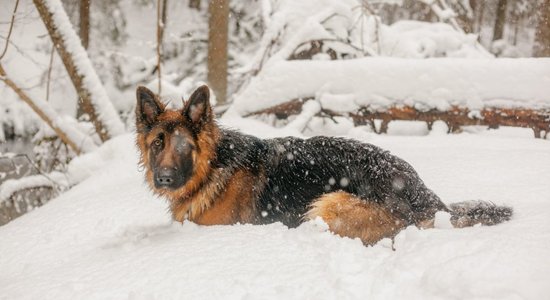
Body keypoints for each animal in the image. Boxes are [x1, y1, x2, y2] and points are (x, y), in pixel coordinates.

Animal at [136, 85, 516, 245]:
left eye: (184, 147)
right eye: (158, 144)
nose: (163, 178)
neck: (213, 167)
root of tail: (421, 192)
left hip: (328, 204)